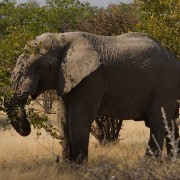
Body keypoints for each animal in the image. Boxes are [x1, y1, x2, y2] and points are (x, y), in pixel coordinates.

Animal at [4, 31, 180, 163]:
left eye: (38, 67)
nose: (28, 127)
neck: (61, 38)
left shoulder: (91, 78)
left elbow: (78, 117)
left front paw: (78, 167)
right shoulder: (66, 78)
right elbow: (62, 118)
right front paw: (67, 166)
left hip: (165, 85)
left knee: (157, 121)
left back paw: (147, 163)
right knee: (170, 122)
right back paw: (173, 162)